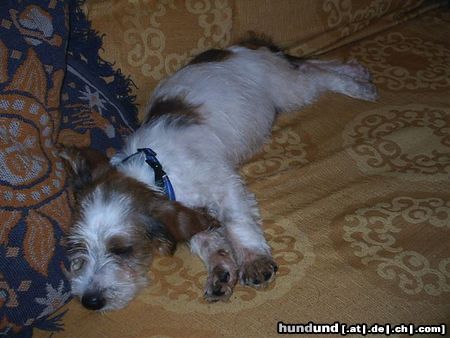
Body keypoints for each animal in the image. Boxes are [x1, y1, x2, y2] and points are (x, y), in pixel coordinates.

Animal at [59, 37, 376, 312]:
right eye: (77, 247)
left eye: (122, 250)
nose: (89, 302)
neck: (156, 171)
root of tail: (242, 47)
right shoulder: (188, 215)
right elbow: (209, 242)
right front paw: (221, 272)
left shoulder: (225, 186)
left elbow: (236, 223)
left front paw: (253, 261)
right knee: (308, 63)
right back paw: (354, 69)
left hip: (289, 91)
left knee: (318, 76)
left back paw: (356, 85)